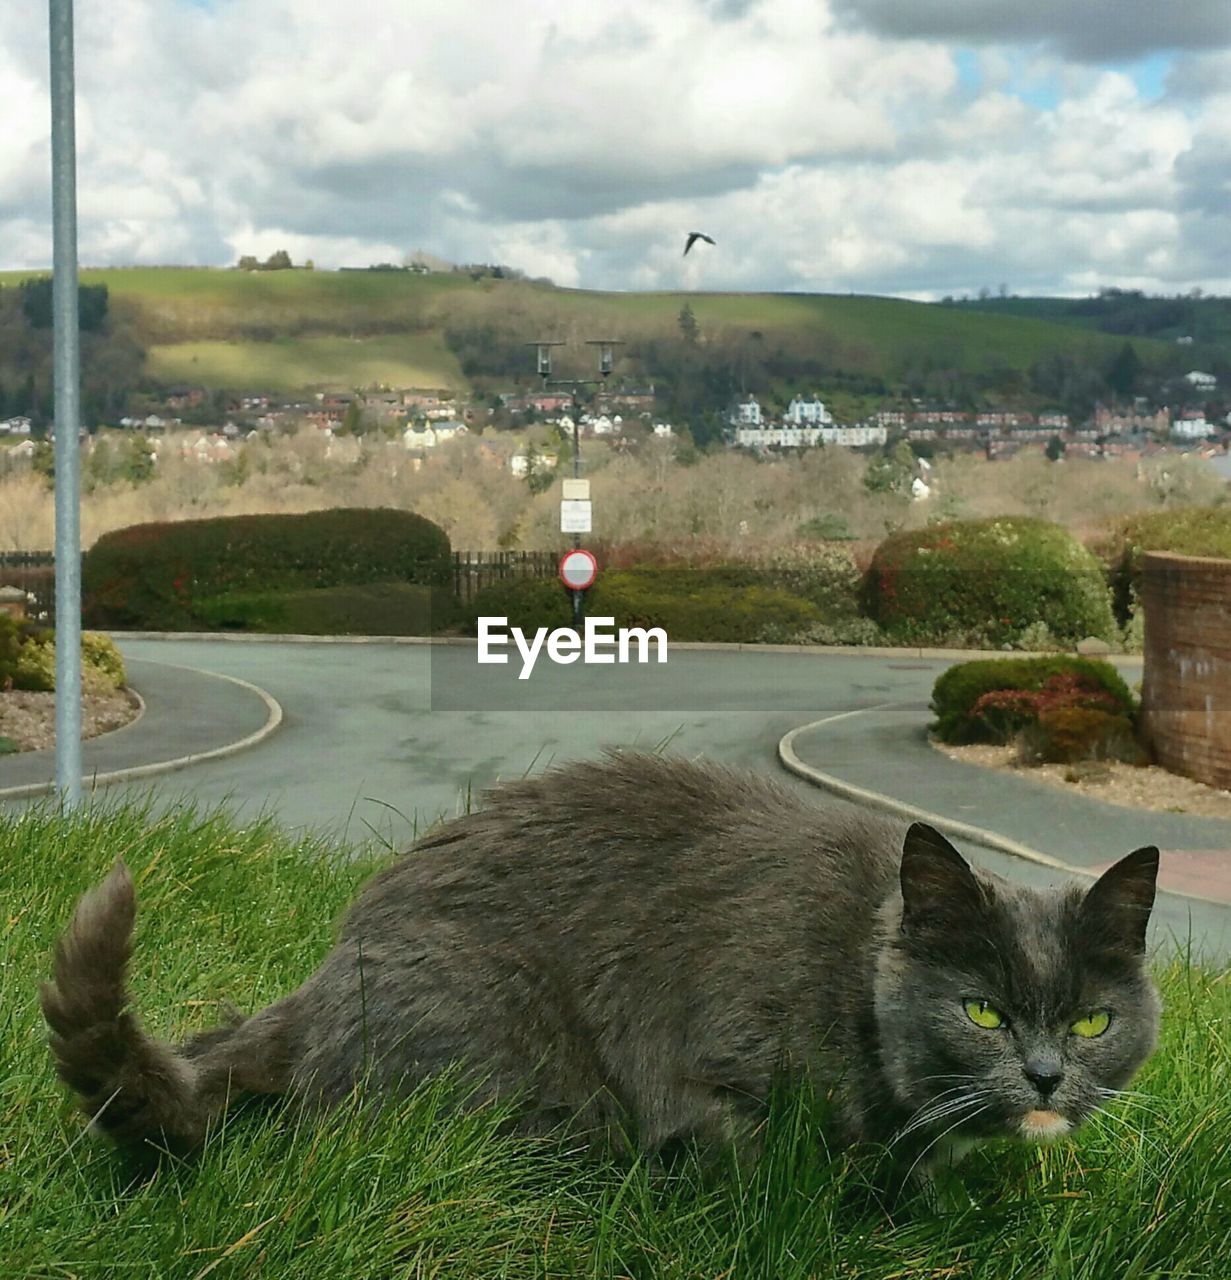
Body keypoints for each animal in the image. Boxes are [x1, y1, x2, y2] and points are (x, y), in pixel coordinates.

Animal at [38, 747, 1156, 1187]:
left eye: (1092, 1022)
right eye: (982, 1010)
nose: (1047, 1075)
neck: (850, 975)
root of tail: (327, 972)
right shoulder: (712, 1067)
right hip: (504, 1061)